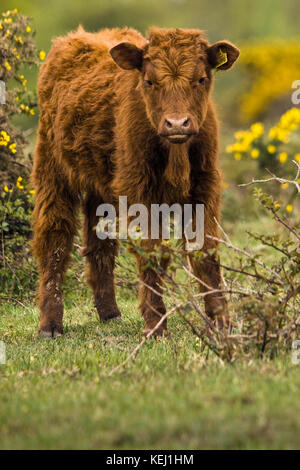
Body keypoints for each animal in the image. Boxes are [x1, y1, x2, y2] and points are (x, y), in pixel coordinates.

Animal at [32, 26, 239, 338]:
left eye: (201, 79)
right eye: (150, 81)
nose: (177, 123)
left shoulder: (205, 187)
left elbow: (205, 252)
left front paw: (222, 322)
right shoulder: (140, 191)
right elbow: (151, 252)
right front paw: (156, 326)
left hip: (101, 186)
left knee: (99, 245)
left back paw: (110, 313)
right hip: (52, 170)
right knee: (54, 240)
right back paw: (50, 324)